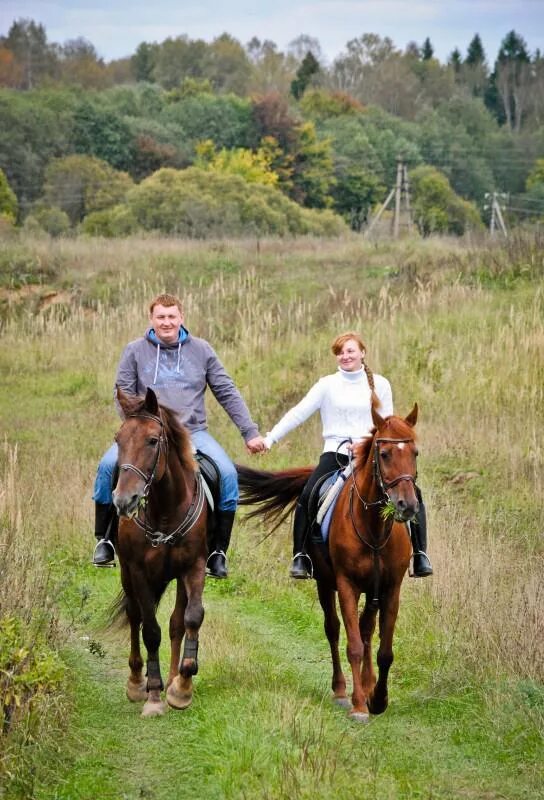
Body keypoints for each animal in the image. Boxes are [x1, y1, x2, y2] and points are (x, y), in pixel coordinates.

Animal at [109, 388, 207, 720]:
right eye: (118, 439)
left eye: (153, 440)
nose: (124, 500)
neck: (165, 510)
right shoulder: (138, 571)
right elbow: (150, 630)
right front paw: (152, 694)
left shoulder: (194, 566)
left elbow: (192, 617)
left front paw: (182, 685)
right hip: (127, 574)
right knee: (135, 615)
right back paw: (136, 682)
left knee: (177, 622)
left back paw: (173, 678)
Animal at [236, 404, 418, 720]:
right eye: (385, 454)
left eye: (415, 453)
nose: (406, 505)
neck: (373, 528)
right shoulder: (346, 585)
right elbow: (353, 644)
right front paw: (359, 705)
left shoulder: (390, 588)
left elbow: (384, 650)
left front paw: (378, 698)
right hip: (324, 583)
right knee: (333, 629)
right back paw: (341, 690)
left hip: (372, 590)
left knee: (366, 630)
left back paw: (367, 685)